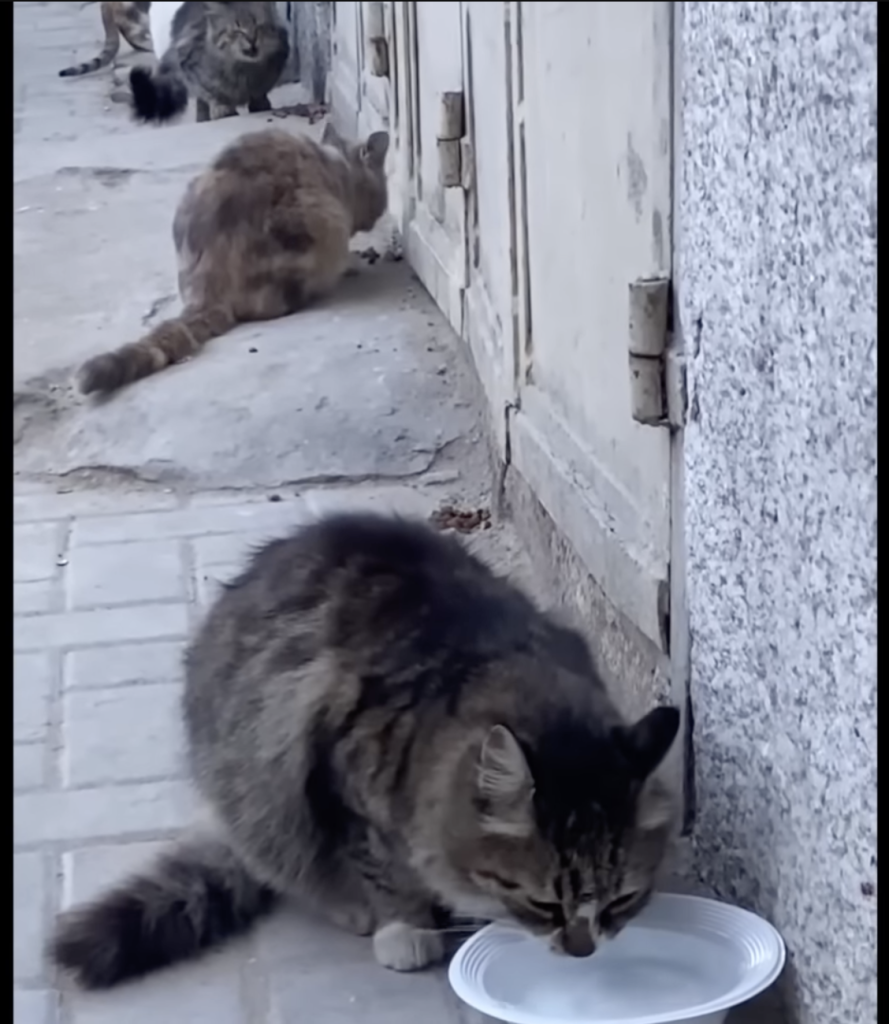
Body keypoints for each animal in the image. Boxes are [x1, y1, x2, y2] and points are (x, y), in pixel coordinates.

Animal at [50, 516, 680, 987]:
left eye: (622, 901)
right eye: (544, 904)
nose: (582, 952)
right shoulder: (342, 784)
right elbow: (382, 869)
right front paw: (406, 928)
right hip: (253, 786)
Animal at [130, 0, 288, 122]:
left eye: (258, 26)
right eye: (237, 31)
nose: (252, 40)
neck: (244, 70)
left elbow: (260, 90)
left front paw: (259, 102)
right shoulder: (189, 66)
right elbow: (211, 92)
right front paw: (221, 108)